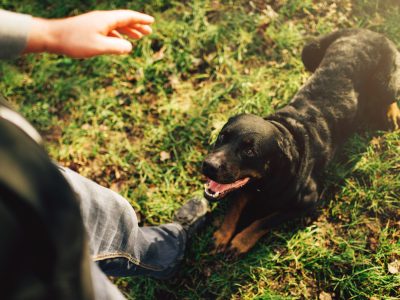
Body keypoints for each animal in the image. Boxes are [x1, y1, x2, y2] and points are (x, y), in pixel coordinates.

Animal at [203, 29, 400, 256]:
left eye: (249, 151)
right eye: (222, 136)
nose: (208, 165)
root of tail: (369, 31)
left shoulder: (308, 200)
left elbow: (265, 220)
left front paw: (241, 241)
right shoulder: (244, 185)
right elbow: (236, 205)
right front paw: (223, 234)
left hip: (385, 84)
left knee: (391, 96)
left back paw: (392, 113)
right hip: (309, 52)